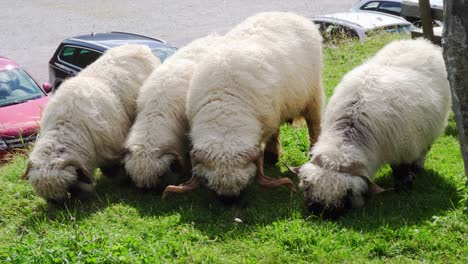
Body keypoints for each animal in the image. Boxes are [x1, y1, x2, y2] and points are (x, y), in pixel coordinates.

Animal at [22, 44, 161, 202]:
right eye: (49, 200)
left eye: (69, 190)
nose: (60, 206)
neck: (66, 125)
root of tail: (138, 45)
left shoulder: (111, 148)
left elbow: (112, 169)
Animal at [165, 10, 326, 200]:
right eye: (210, 183)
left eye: (244, 183)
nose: (229, 202)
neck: (226, 112)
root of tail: (287, 14)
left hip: (313, 96)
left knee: (314, 125)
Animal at [294, 37, 452, 219]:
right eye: (307, 188)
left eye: (346, 195)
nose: (321, 214)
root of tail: (421, 42)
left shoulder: (403, 150)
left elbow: (402, 171)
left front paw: (404, 187)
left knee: (423, 151)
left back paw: (418, 168)